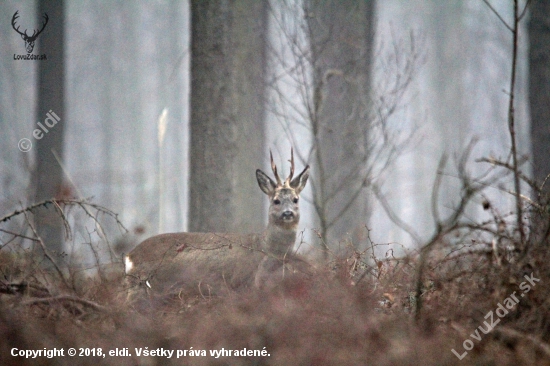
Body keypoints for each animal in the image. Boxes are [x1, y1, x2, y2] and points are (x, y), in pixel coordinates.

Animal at [126, 149, 312, 304]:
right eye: (276, 201)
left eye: (295, 199)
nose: (288, 213)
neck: (267, 249)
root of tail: (130, 256)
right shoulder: (244, 281)